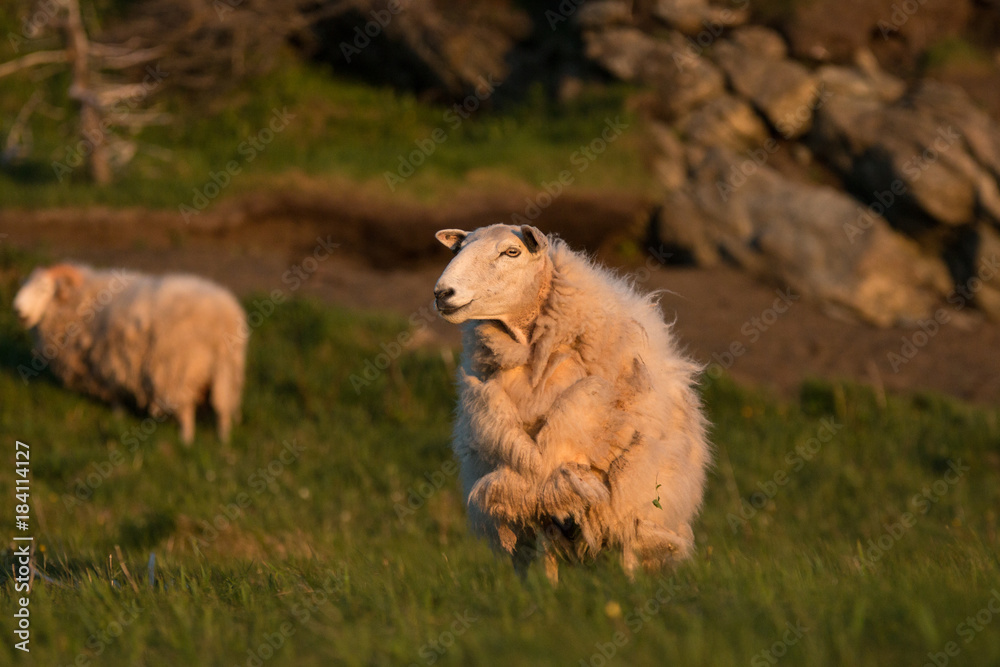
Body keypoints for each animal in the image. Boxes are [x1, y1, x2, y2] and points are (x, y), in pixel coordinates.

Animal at [13, 263, 247, 444]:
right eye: (23, 286)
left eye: (44, 289)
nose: (17, 311)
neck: (78, 301)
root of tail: (224, 315)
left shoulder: (105, 360)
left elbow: (113, 391)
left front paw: (117, 414)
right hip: (225, 369)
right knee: (222, 407)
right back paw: (223, 441)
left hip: (178, 369)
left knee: (186, 409)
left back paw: (186, 440)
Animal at [433, 224, 710, 583]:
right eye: (457, 249)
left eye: (511, 252)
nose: (442, 293)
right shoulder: (530, 489)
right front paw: (545, 591)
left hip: (635, 490)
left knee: (628, 546)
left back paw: (630, 586)